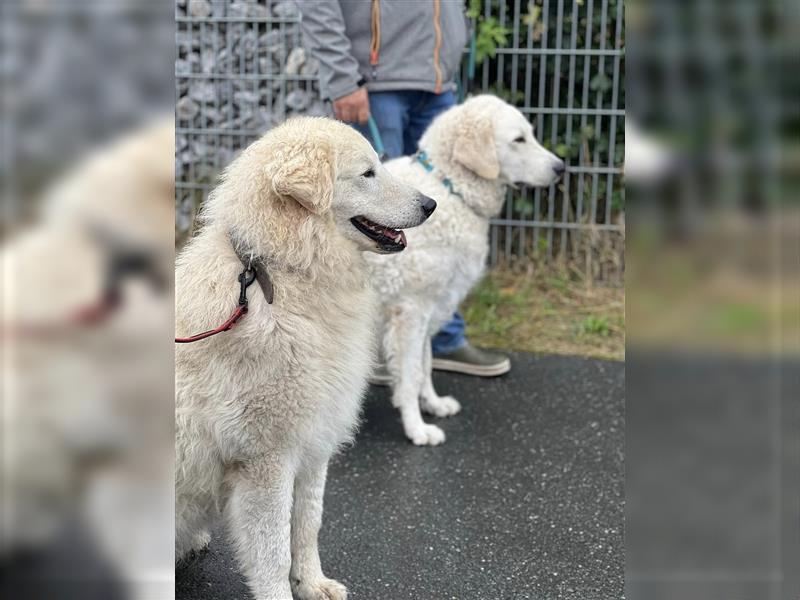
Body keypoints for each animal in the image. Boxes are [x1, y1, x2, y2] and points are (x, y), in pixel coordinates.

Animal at [175, 117, 434, 600]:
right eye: (368, 173)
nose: (431, 204)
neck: (278, 276)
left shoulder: (313, 448)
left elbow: (308, 525)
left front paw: (313, 583)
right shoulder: (267, 460)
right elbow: (274, 549)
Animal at [366, 95, 564, 446]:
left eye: (531, 134)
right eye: (519, 140)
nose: (561, 168)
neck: (450, 188)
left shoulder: (433, 305)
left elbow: (425, 365)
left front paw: (432, 404)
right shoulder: (411, 310)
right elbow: (411, 374)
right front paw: (417, 429)